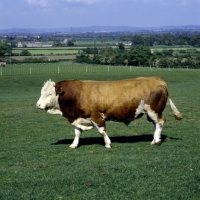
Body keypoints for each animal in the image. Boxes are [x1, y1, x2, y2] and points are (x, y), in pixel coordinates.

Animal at [36, 76, 183, 148]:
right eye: (41, 92)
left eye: (50, 93)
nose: (37, 105)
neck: (77, 95)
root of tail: (156, 79)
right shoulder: (78, 117)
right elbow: (77, 132)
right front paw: (73, 145)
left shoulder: (96, 116)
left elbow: (102, 131)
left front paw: (108, 143)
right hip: (151, 113)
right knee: (156, 124)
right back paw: (154, 139)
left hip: (154, 111)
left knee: (160, 122)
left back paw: (157, 141)